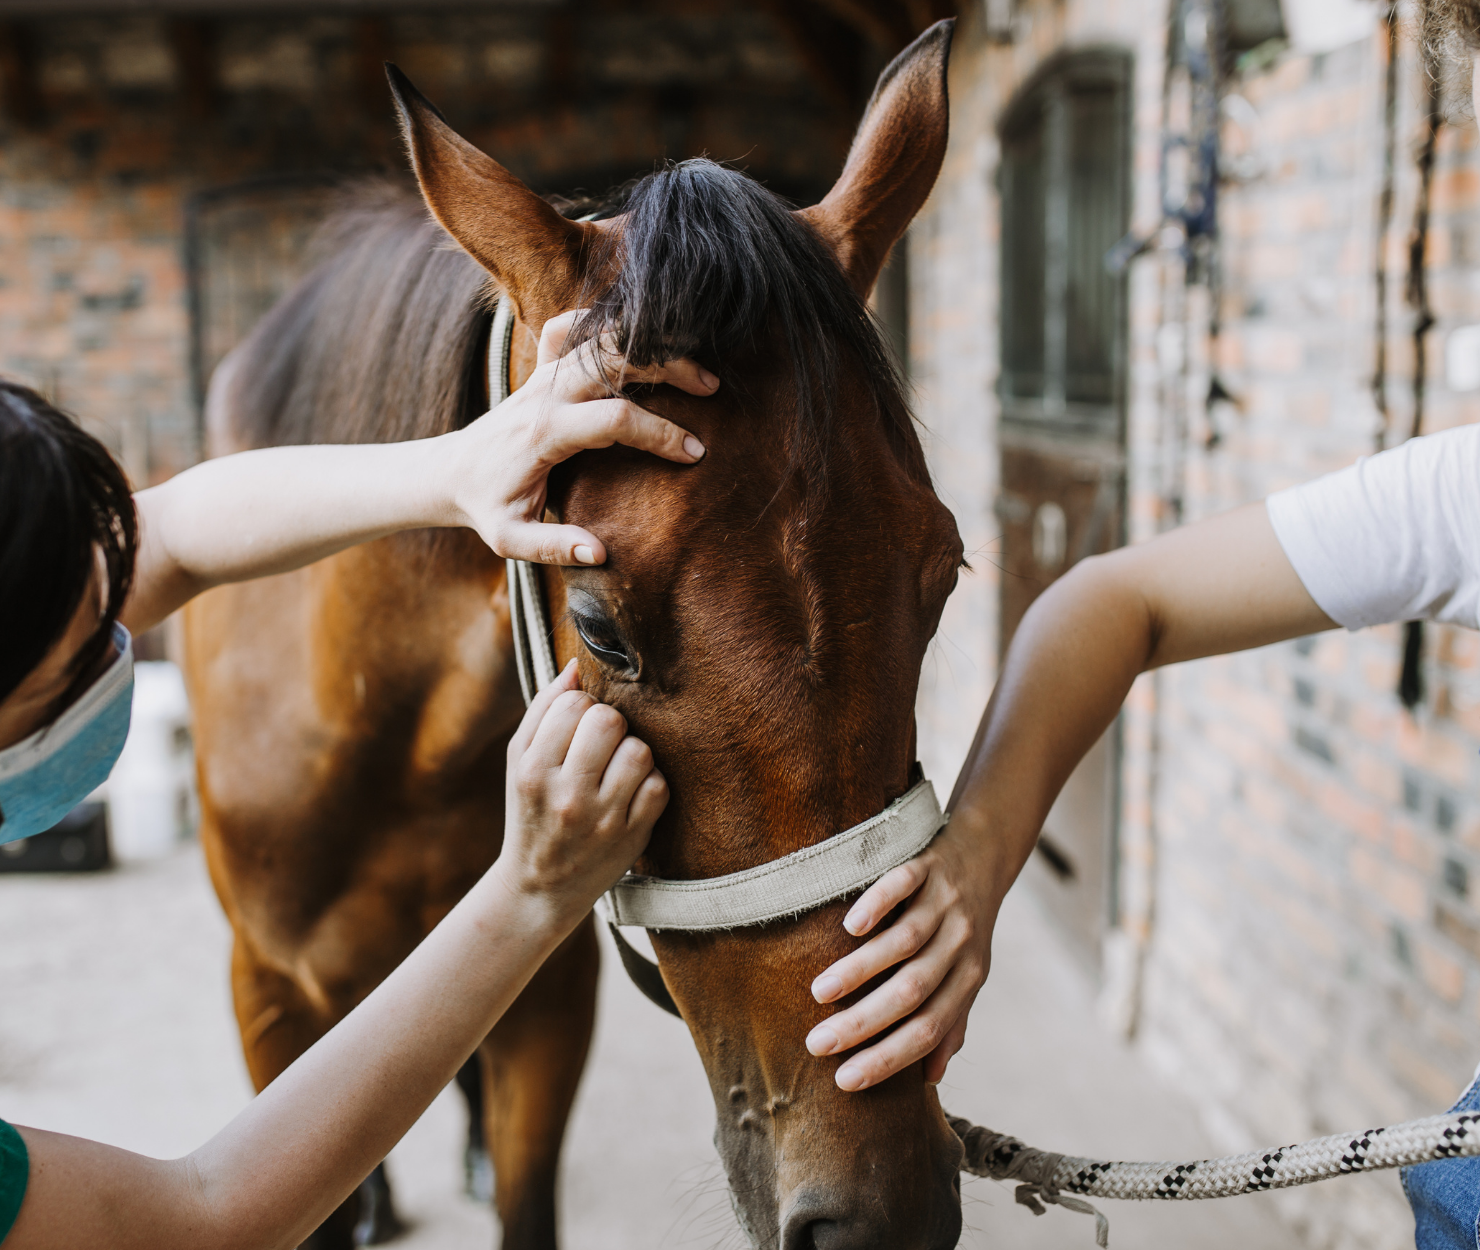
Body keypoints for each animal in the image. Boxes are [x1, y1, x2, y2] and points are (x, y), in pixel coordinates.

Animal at [183, 20, 965, 1250]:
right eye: (601, 628)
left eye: (942, 574)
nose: (882, 1214)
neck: (375, 722)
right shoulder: (263, 993)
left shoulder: (547, 993)